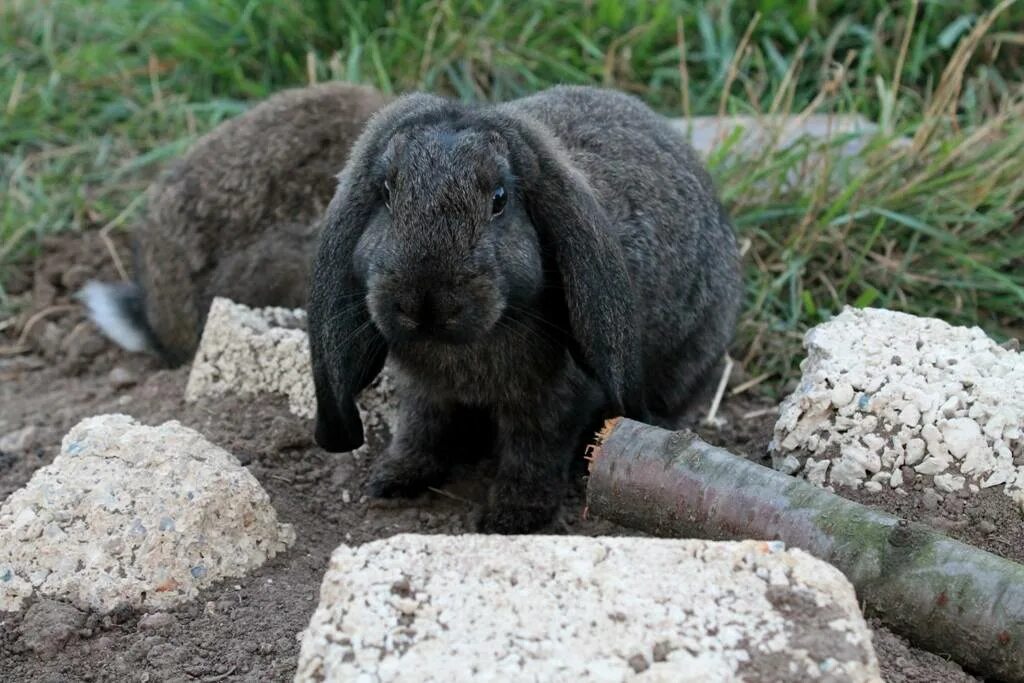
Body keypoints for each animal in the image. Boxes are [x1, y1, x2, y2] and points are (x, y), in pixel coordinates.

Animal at [307, 85, 741, 532]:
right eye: (387, 192)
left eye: (499, 199)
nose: (426, 303)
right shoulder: (425, 392)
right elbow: (420, 428)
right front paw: (395, 479)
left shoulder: (554, 401)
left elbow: (534, 452)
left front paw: (513, 516)